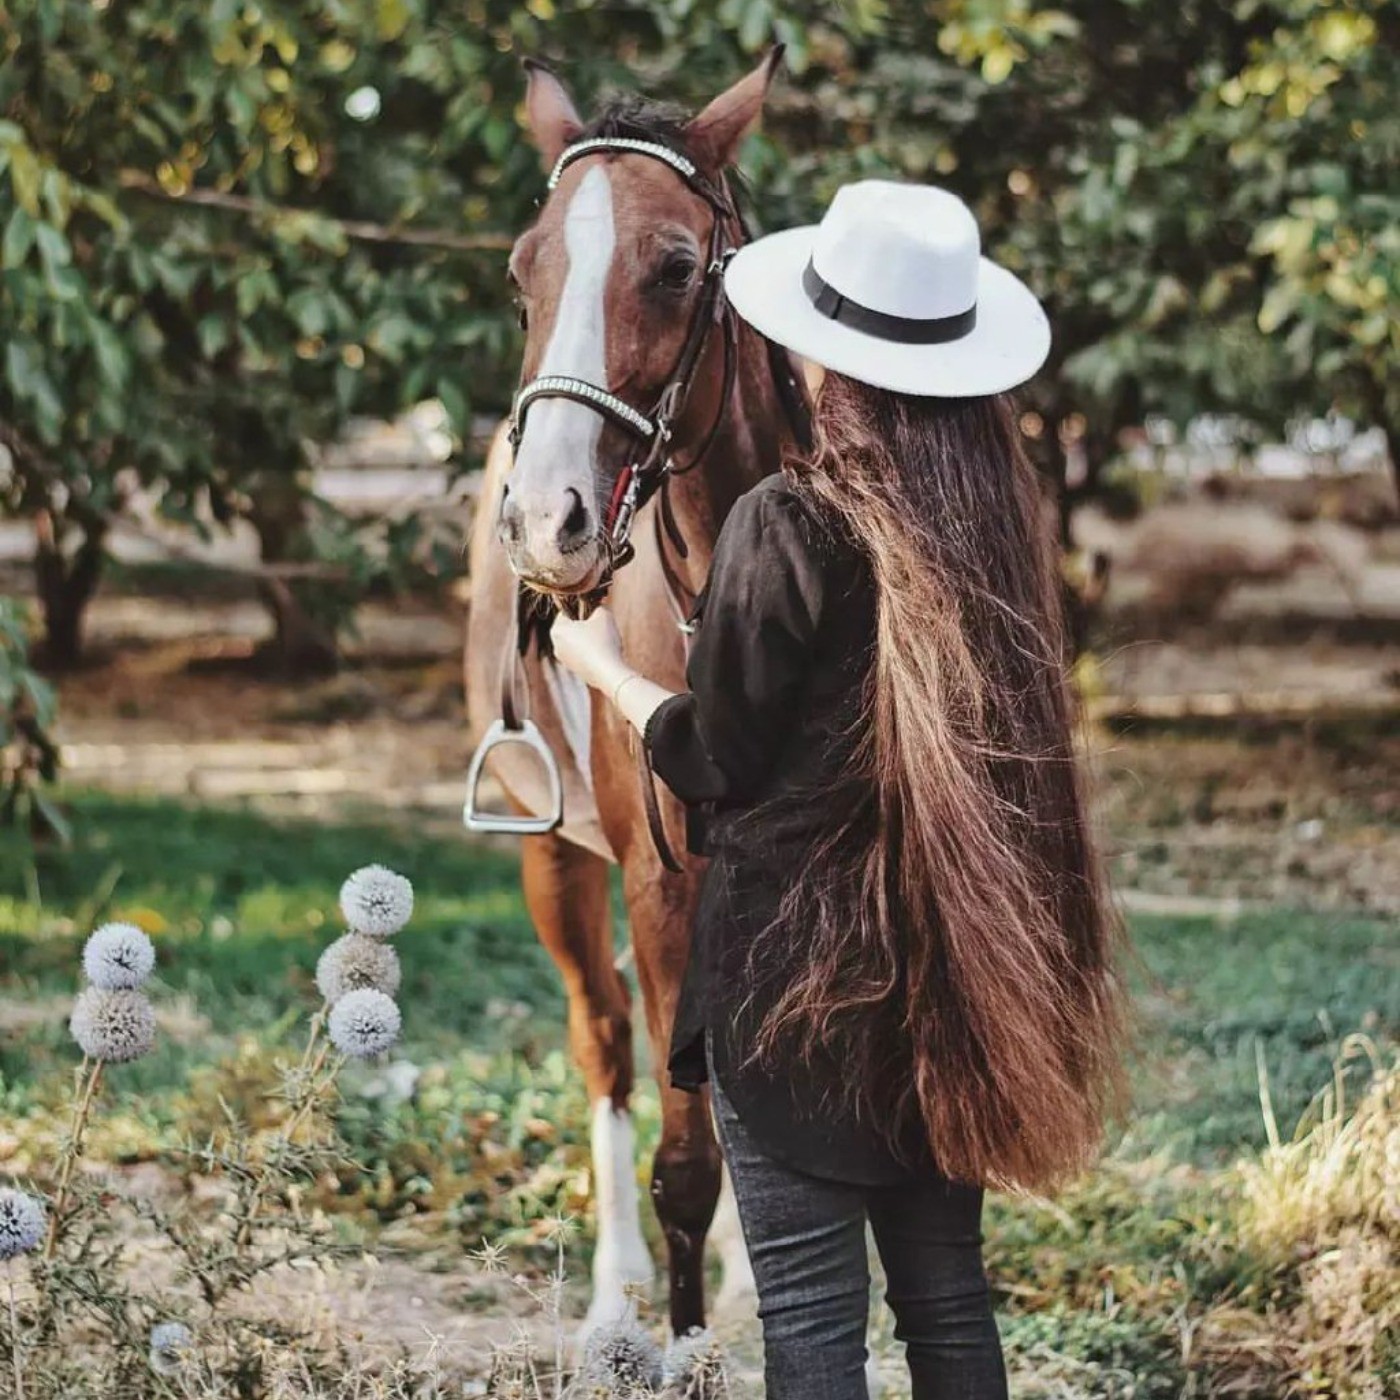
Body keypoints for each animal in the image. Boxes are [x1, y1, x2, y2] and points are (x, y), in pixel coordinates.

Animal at [464, 54, 806, 1338]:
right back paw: (615, 1295)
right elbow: (684, 1159)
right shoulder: (660, 887)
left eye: (672, 267)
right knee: (605, 1041)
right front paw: (681, 1337)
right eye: (523, 270)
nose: (543, 516)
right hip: (553, 861)